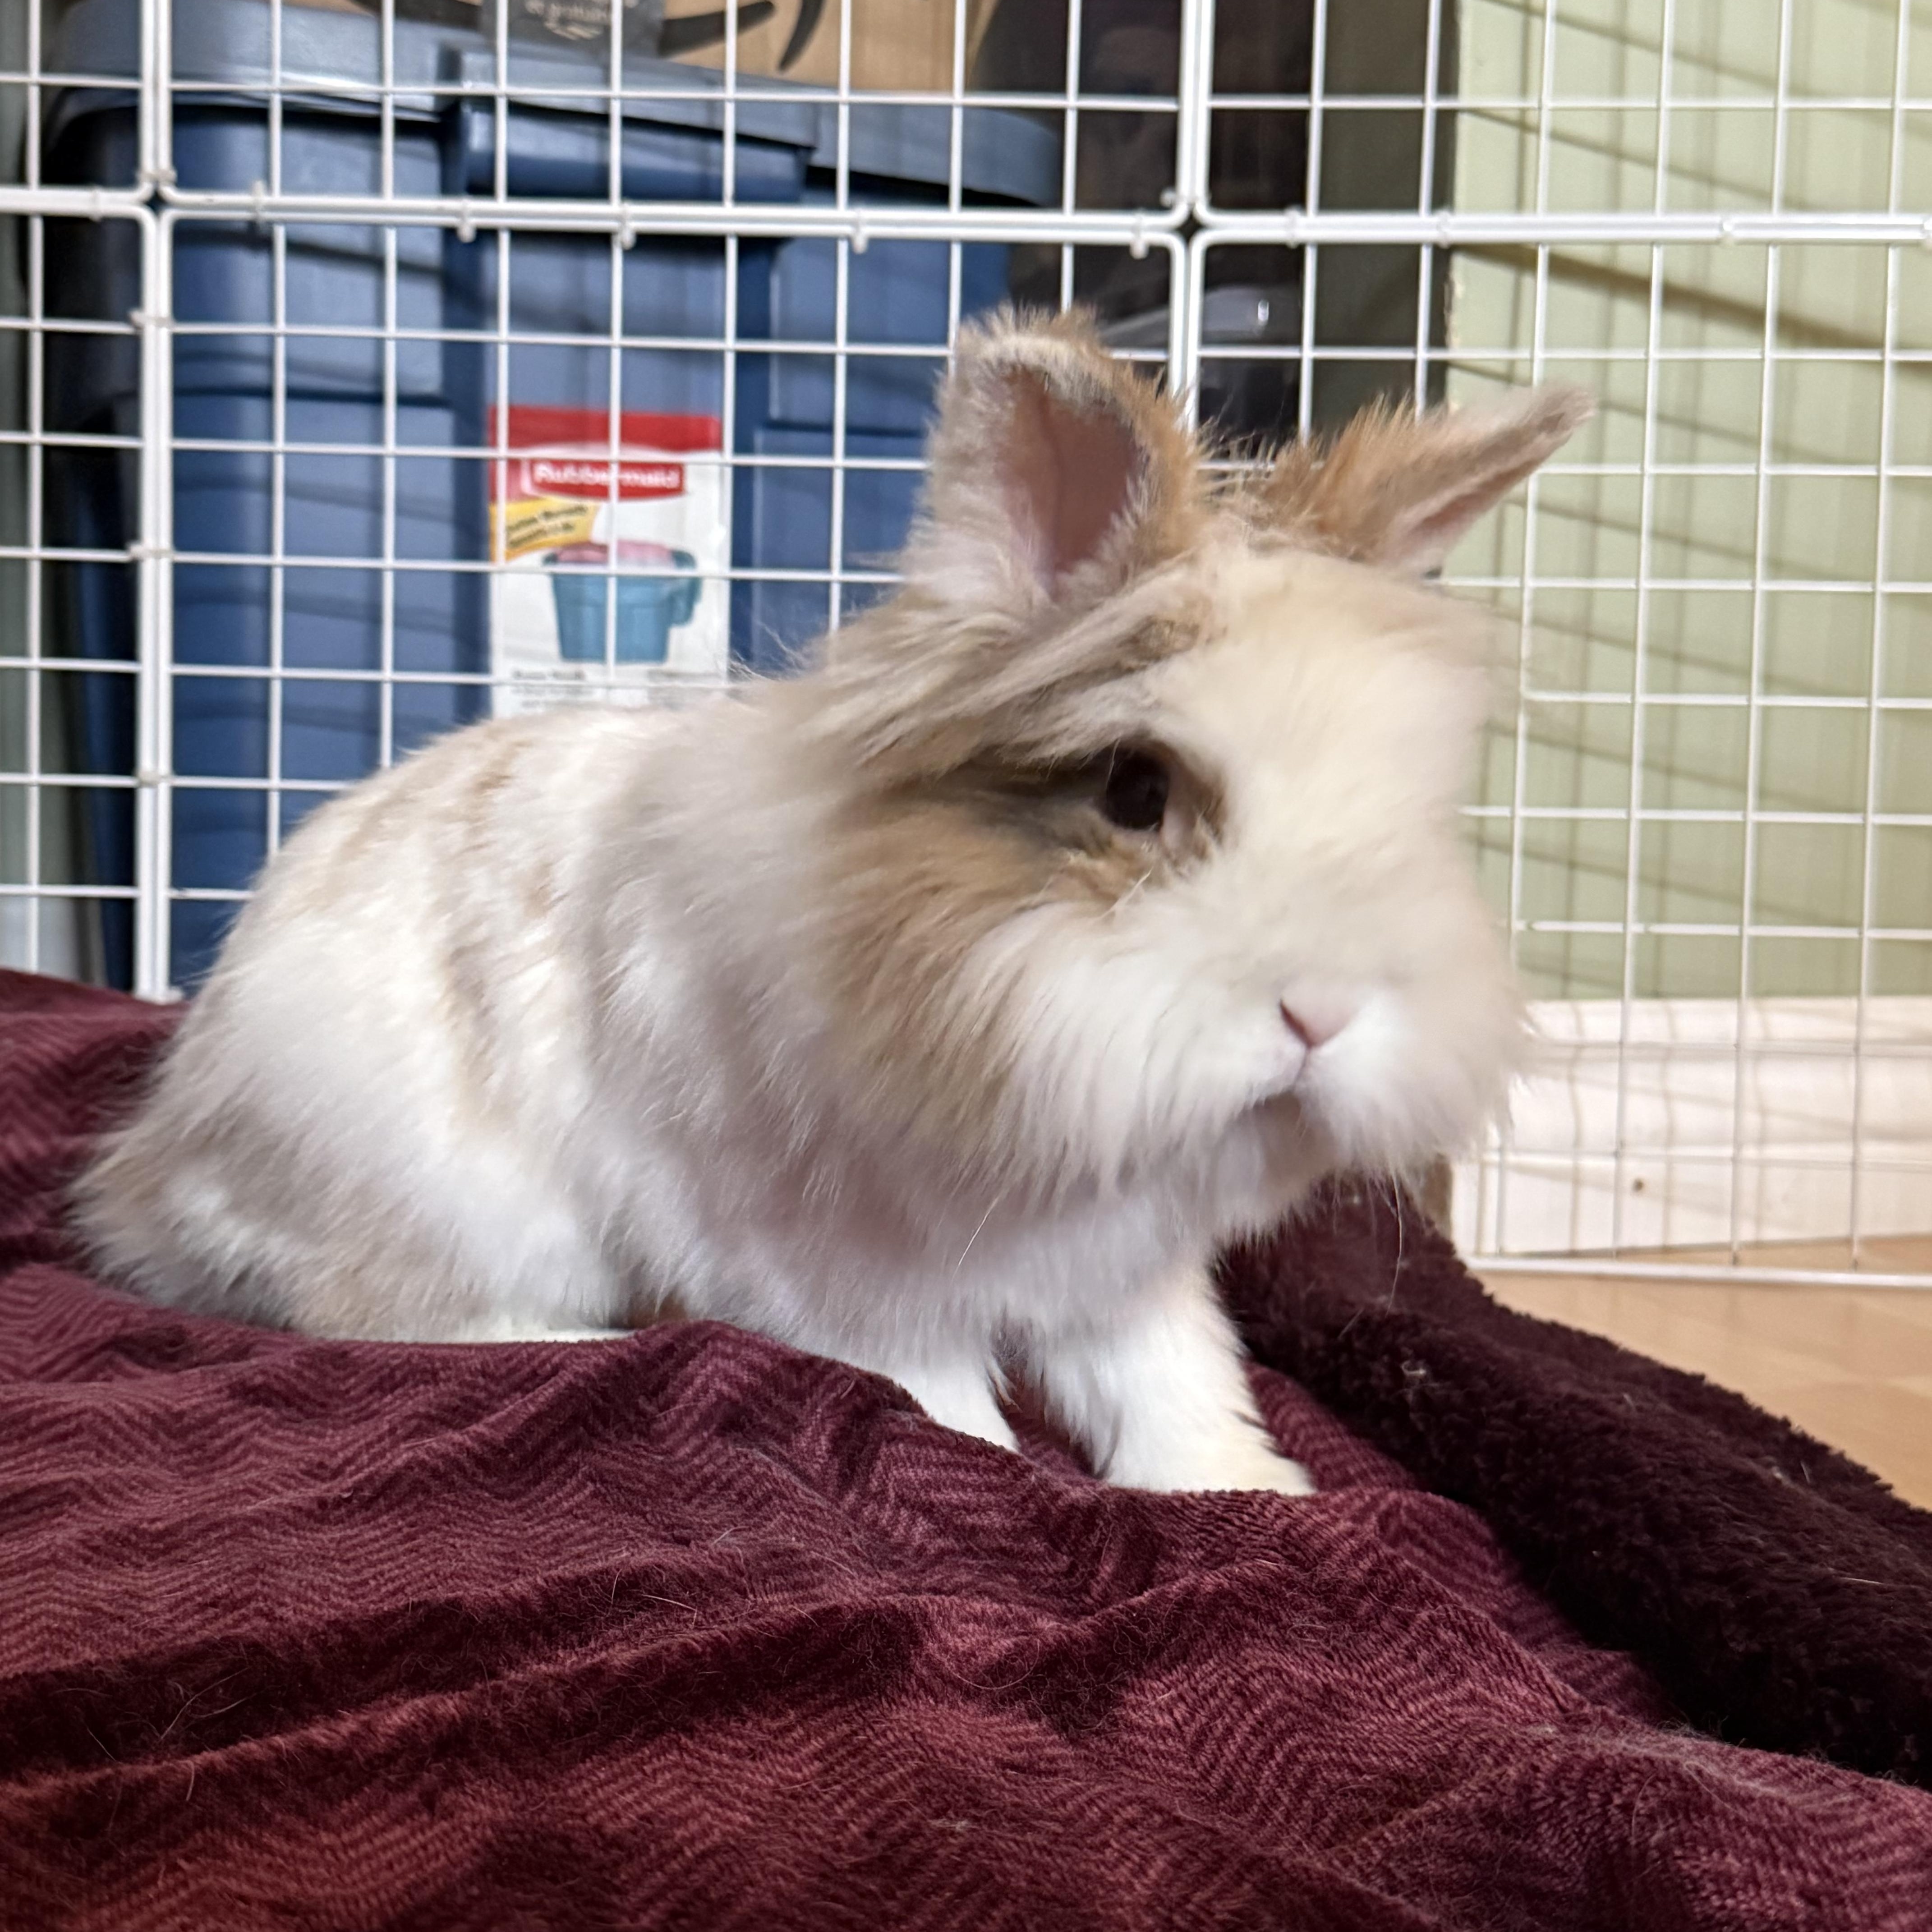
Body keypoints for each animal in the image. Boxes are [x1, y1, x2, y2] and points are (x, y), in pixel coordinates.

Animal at [76, 312, 1588, 1496]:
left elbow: (1168, 1382)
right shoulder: (842, 1273)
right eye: (1136, 790)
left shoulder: (1125, 1275)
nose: (1322, 1013)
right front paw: (998, 1474)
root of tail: (153, 1167)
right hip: (433, 1206)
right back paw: (586, 1343)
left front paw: (1244, 1492)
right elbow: (939, 1398)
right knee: (370, 1315)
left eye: (1415, 804)